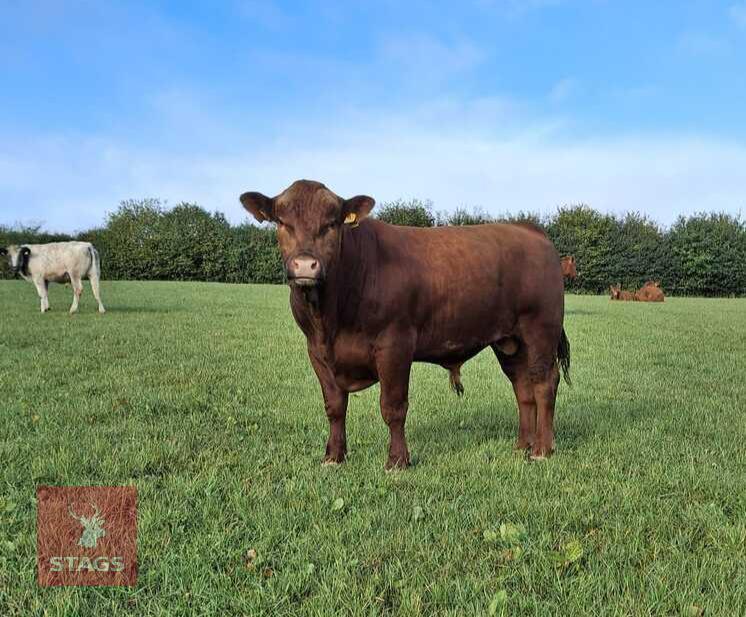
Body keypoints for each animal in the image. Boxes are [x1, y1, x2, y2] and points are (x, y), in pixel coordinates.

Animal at [240, 180, 570, 468]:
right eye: (282, 222)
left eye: (332, 223)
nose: (305, 265)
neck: (330, 318)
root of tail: (528, 229)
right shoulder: (317, 352)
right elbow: (334, 407)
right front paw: (333, 457)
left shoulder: (394, 345)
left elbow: (393, 407)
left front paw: (397, 460)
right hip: (508, 341)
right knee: (522, 387)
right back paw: (522, 445)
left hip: (540, 329)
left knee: (544, 383)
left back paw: (542, 449)